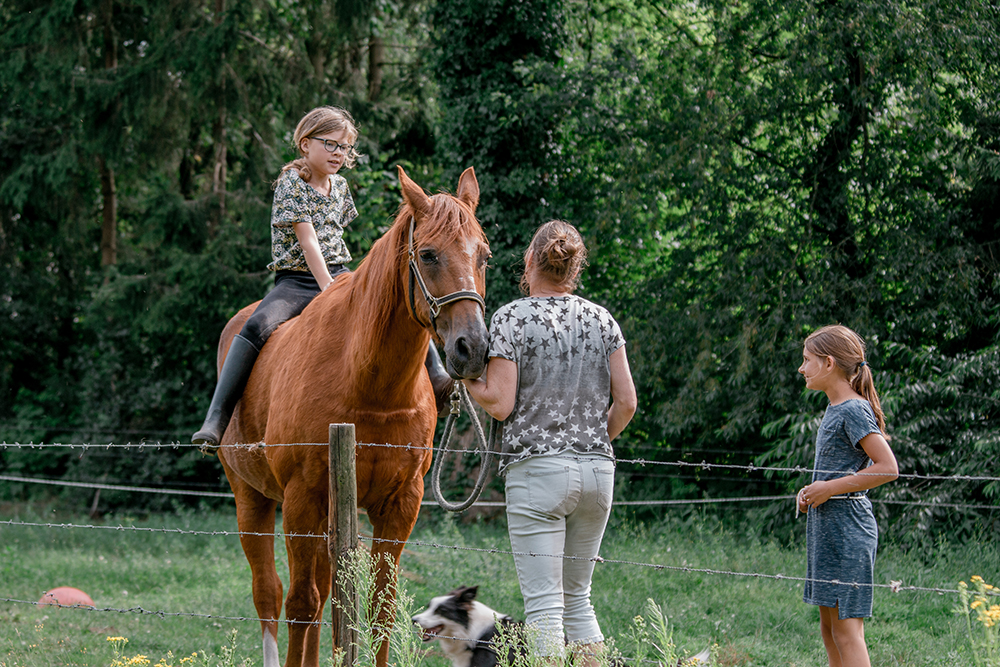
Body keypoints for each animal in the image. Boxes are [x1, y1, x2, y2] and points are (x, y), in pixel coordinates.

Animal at [214, 166, 488, 667]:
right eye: (428, 254)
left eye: (483, 255)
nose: (471, 348)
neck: (368, 385)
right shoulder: (301, 499)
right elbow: (301, 604)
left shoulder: (400, 503)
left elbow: (378, 607)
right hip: (252, 499)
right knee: (270, 594)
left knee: (322, 593)